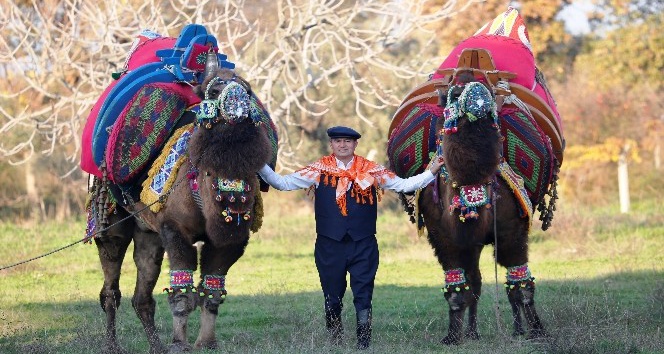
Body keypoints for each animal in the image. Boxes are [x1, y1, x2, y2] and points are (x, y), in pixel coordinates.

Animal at [81, 24, 278, 352]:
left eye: (248, 90)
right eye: (214, 90)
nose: (238, 104)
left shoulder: (229, 241)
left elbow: (212, 291)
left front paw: (206, 343)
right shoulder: (176, 231)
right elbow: (182, 293)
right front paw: (179, 343)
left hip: (148, 232)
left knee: (142, 296)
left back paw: (155, 347)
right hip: (112, 221)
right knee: (110, 288)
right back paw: (113, 346)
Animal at [386, 8, 564, 344]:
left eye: (489, 99)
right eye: (452, 96)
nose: (475, 100)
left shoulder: (511, 230)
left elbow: (521, 285)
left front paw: (538, 332)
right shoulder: (443, 236)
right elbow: (459, 287)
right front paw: (453, 336)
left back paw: (516, 329)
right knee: (477, 281)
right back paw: (473, 331)